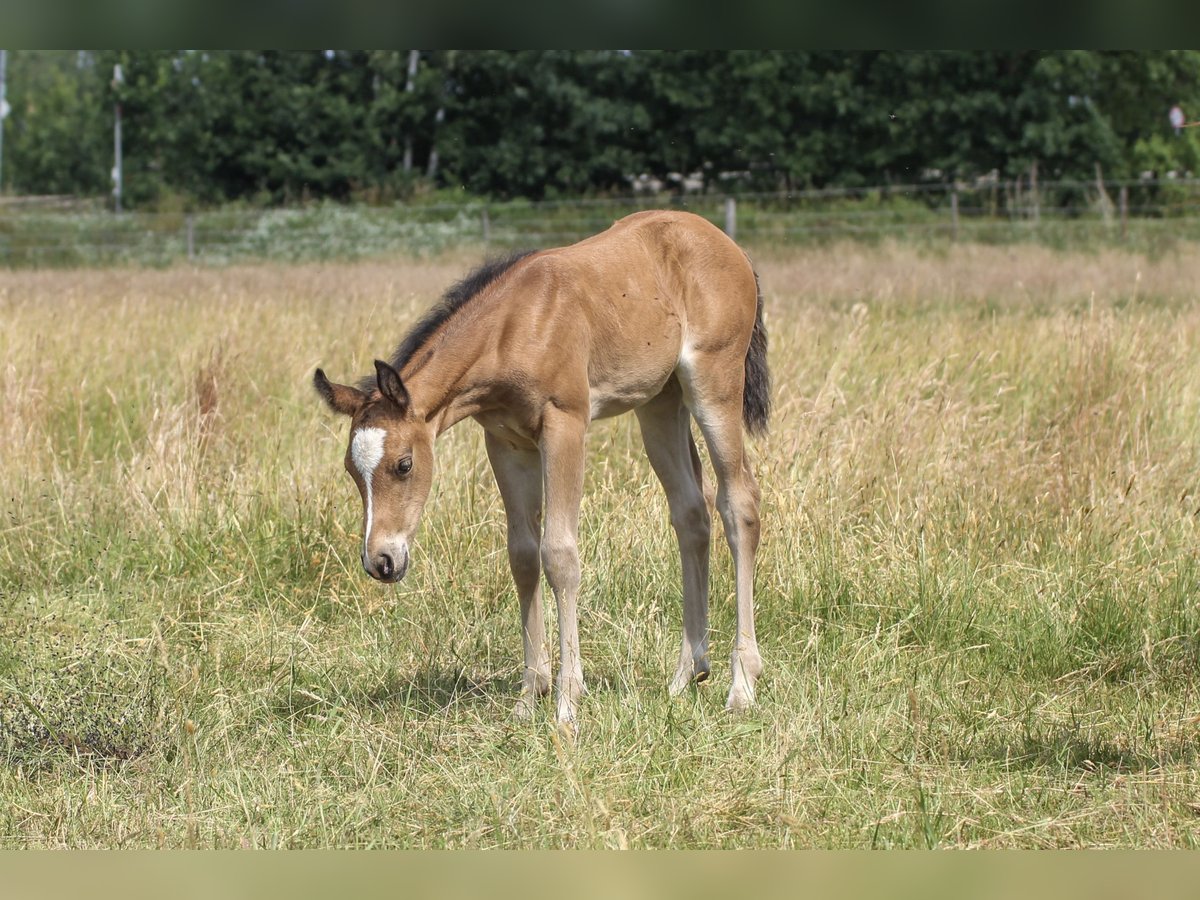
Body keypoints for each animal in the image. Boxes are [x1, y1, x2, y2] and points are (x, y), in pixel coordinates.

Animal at [314, 209, 769, 726]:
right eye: (352, 472)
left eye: (404, 465)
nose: (381, 562)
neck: (516, 328)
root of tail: (732, 247)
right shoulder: (506, 443)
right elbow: (524, 557)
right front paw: (530, 695)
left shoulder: (565, 424)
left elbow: (559, 554)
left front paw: (568, 702)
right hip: (659, 402)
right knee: (691, 512)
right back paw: (686, 674)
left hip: (715, 384)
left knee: (738, 503)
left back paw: (742, 685)